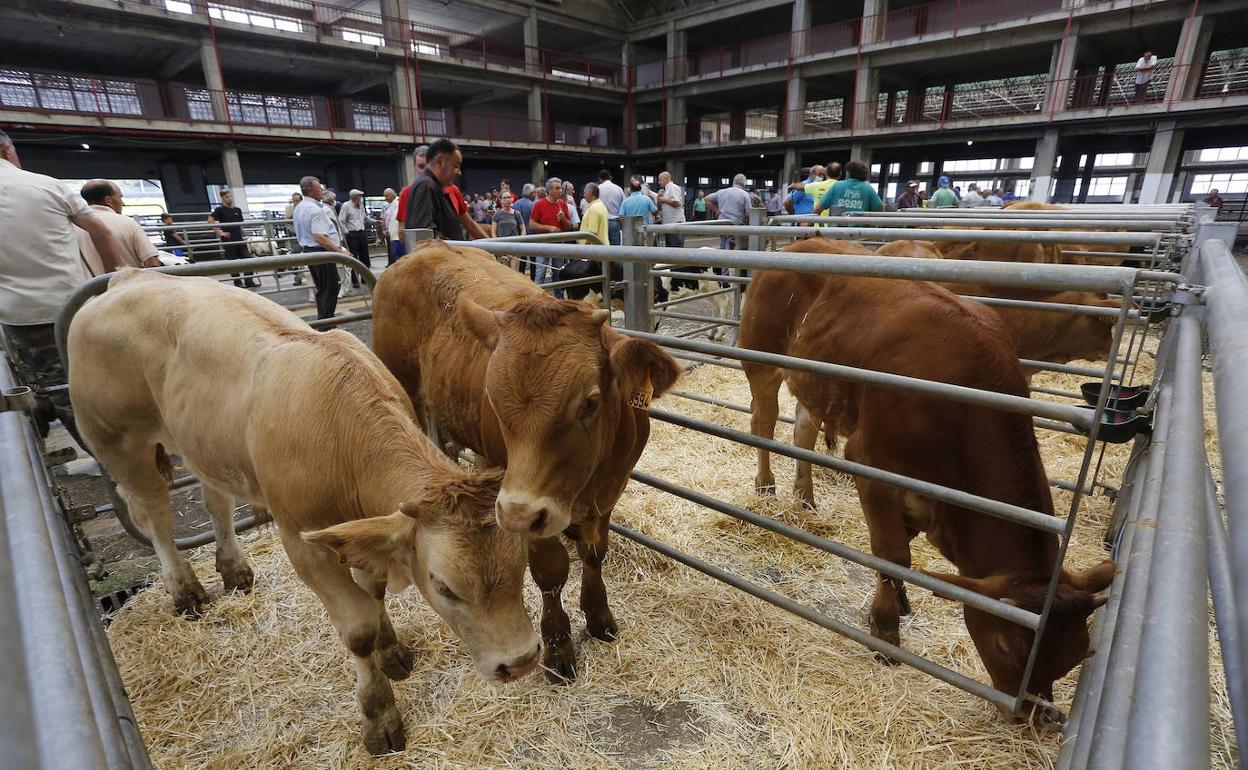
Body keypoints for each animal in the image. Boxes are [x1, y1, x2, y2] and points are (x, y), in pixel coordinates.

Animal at [68, 268, 536, 748]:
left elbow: (373, 590)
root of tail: (127, 278)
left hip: (203, 444)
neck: (343, 442)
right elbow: (358, 629)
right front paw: (379, 714)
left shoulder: (359, 529)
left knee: (216, 500)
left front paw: (391, 650)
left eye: (521, 565)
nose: (519, 661)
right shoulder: (302, 541)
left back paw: (234, 569)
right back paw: (185, 590)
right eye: (443, 587)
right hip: (120, 442)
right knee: (155, 515)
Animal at [369, 238, 683, 678]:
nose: (517, 514)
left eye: (590, 402)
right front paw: (558, 644)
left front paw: (599, 616)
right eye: (493, 399)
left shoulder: (610, 492)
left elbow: (594, 554)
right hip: (403, 381)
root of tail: (427, 245)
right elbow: (551, 572)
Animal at [738, 238, 1113, 708]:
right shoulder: (871, 462)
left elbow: (904, 542)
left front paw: (895, 602)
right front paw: (885, 630)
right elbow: (893, 554)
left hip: (813, 378)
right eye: (1008, 647)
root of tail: (803, 242)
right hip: (762, 360)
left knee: (802, 430)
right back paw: (766, 486)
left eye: (1074, 656)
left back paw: (804, 498)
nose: (1026, 713)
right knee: (763, 421)